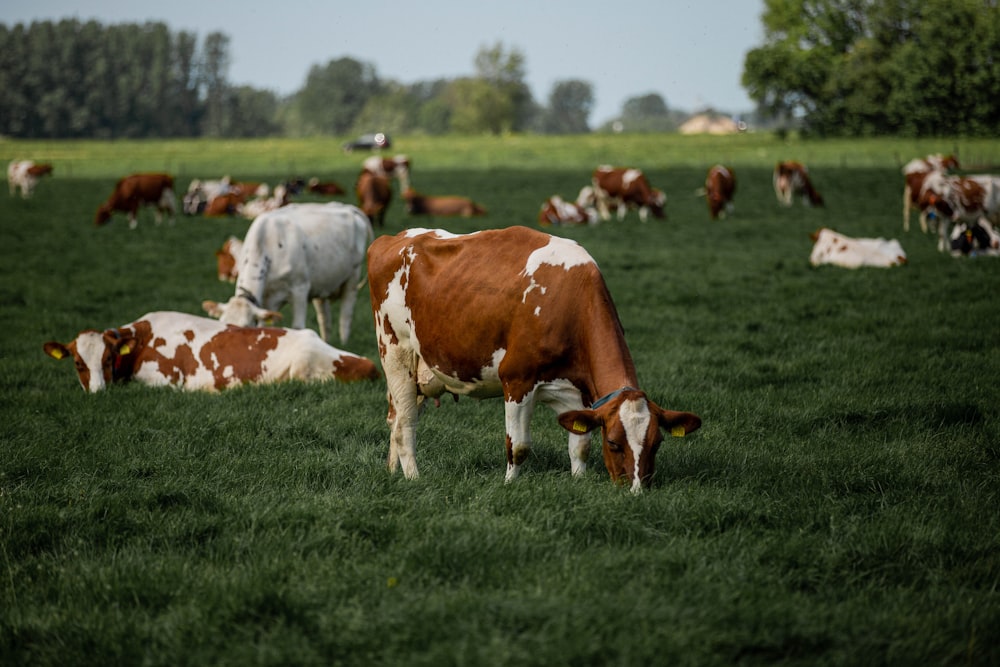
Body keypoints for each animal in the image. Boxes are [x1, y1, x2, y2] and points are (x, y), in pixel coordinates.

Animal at [201, 202, 374, 344]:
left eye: (245, 327)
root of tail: (347, 207)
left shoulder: (300, 288)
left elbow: (298, 327)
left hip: (352, 277)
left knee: (346, 314)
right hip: (322, 282)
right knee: (324, 318)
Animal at [364, 227, 700, 494]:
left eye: (657, 443)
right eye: (615, 443)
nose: (637, 490)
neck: (570, 303)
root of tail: (393, 238)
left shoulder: (578, 394)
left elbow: (580, 445)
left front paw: (579, 483)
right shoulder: (517, 380)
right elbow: (519, 446)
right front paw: (509, 484)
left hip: (421, 372)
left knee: (395, 418)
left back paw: (392, 472)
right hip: (395, 354)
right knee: (405, 424)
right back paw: (413, 477)